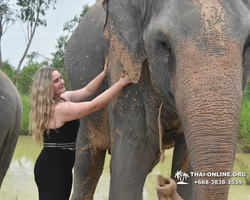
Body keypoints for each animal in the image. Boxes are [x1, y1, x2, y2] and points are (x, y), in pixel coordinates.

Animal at [64, 0, 250, 200]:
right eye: (163, 43)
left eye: (248, 44)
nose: (164, 183)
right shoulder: (124, 62)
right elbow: (129, 166)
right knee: (87, 165)